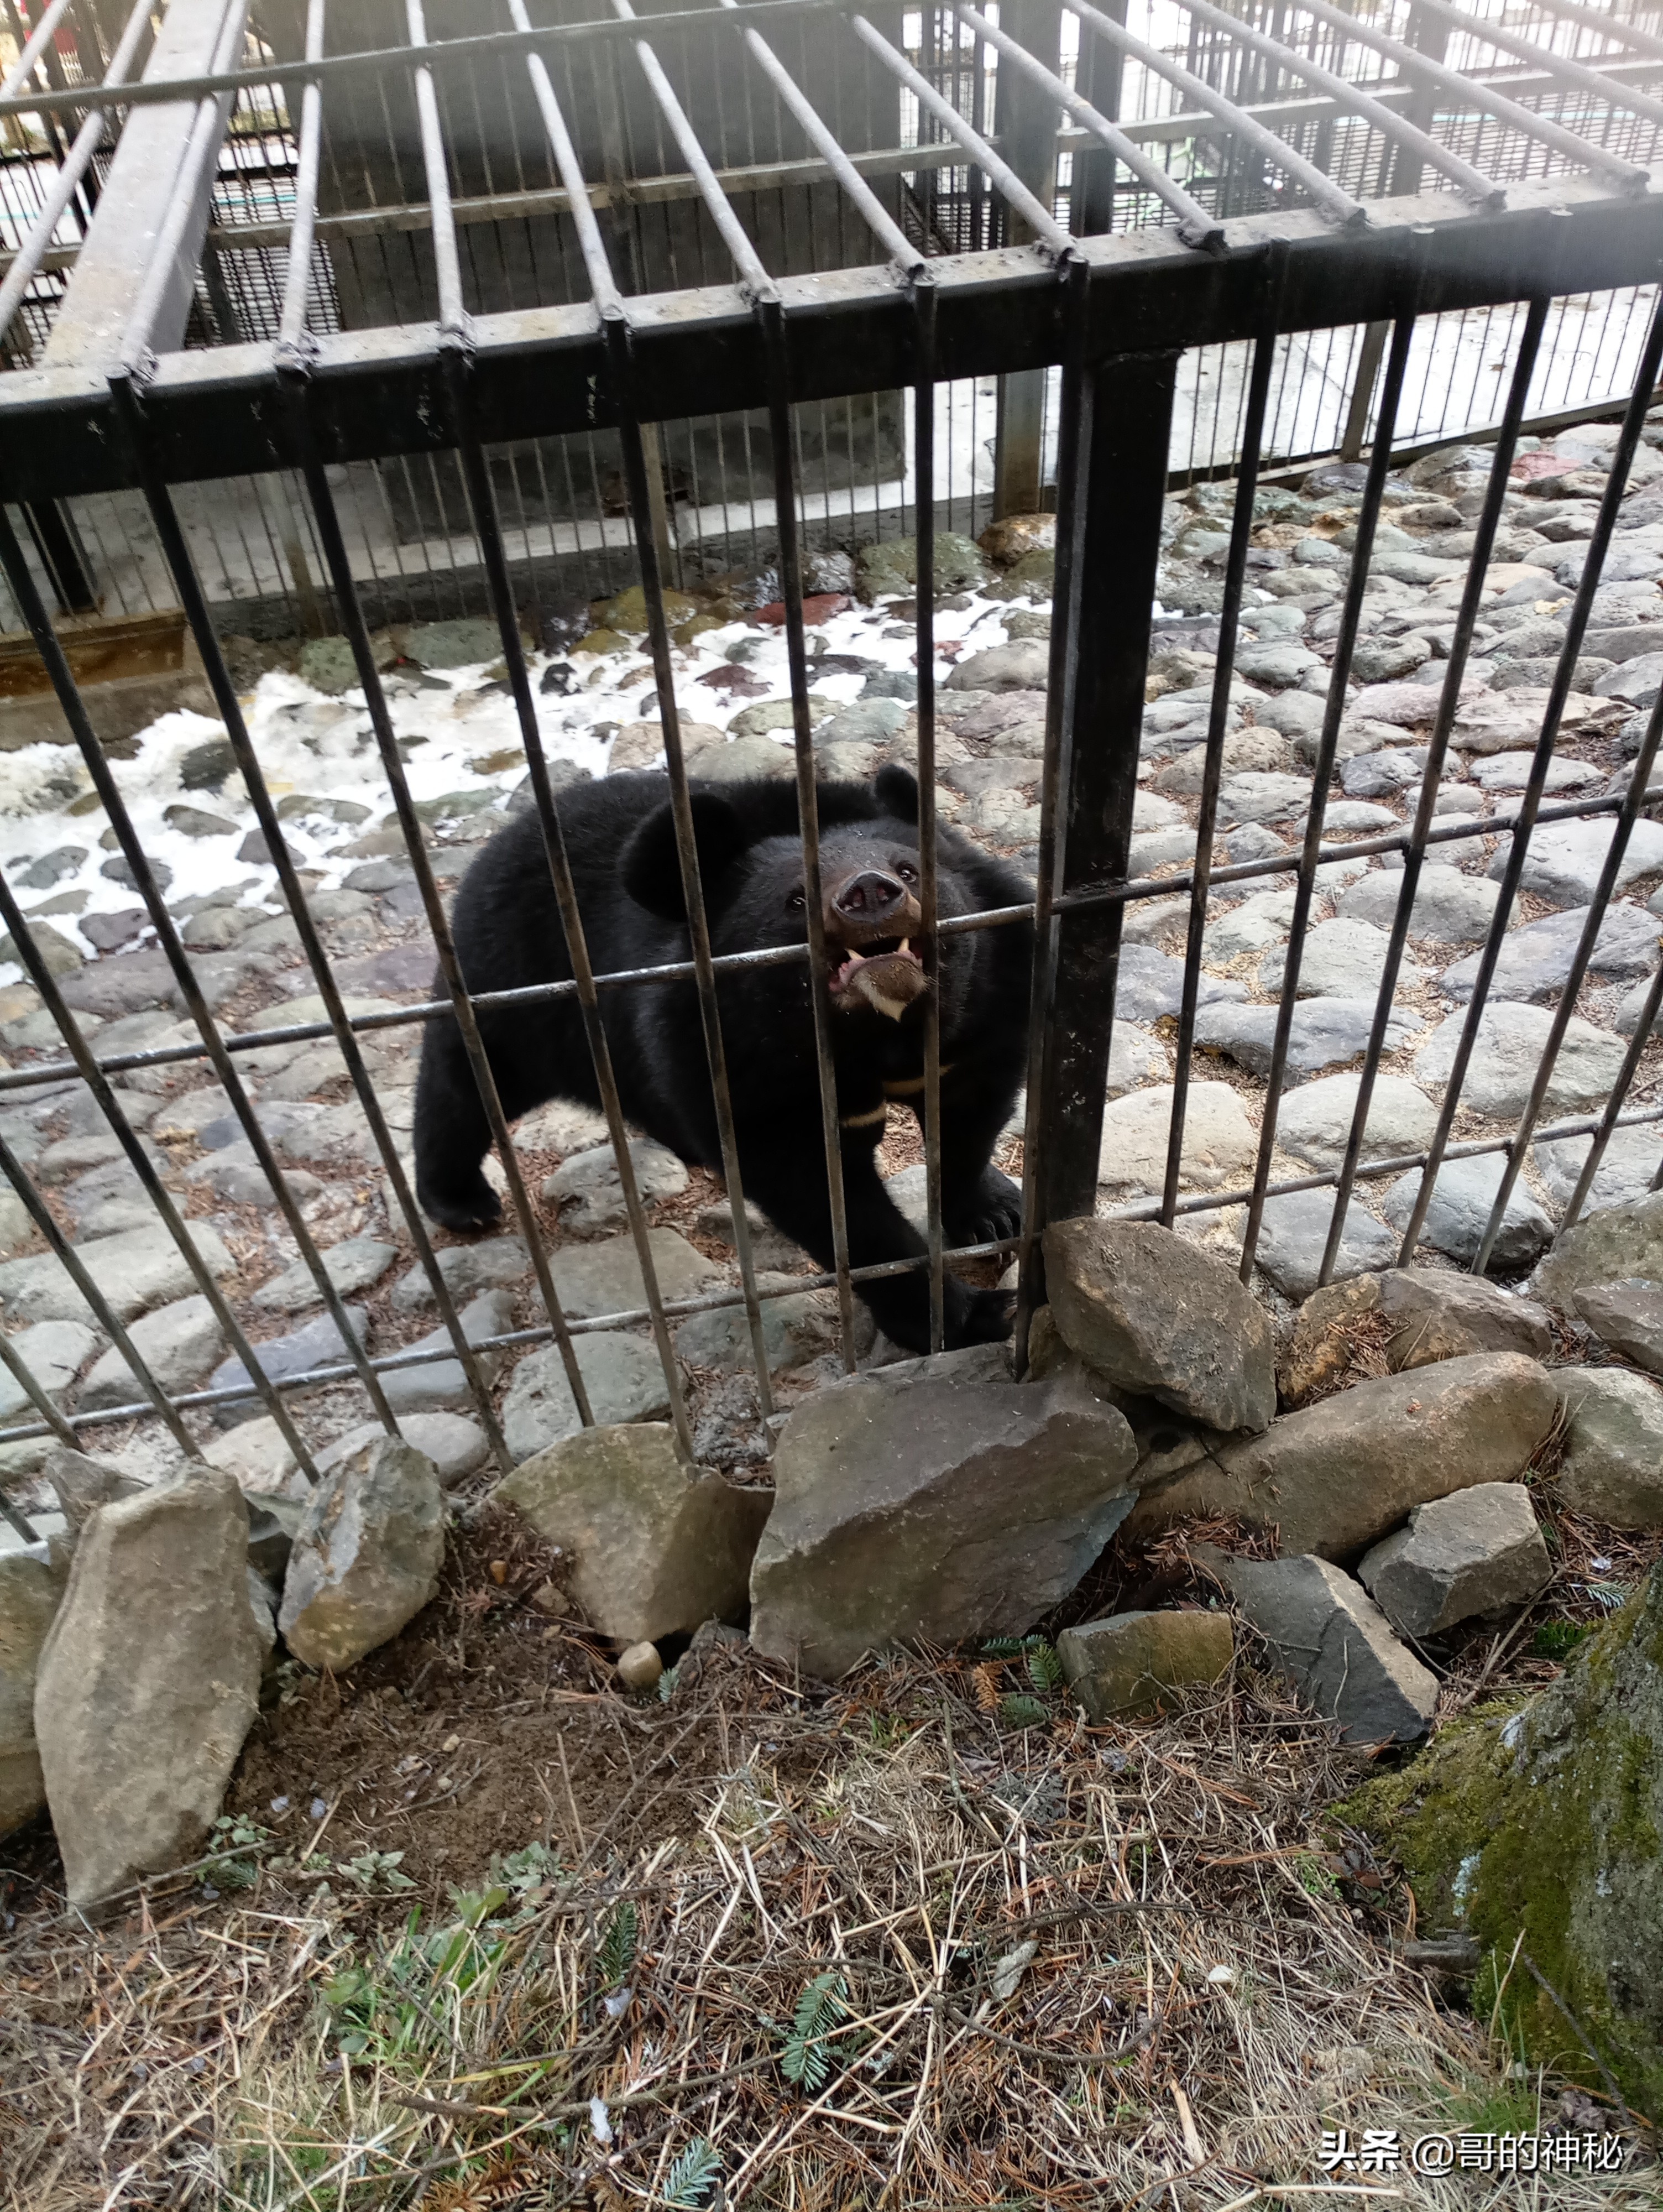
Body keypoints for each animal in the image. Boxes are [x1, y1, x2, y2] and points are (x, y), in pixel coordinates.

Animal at [414, 761, 1026, 1345]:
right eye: (795, 899)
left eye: (907, 869)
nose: (869, 894)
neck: (880, 1041)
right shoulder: (745, 1071)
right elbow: (829, 1203)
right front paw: (973, 1316)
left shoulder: (984, 1016)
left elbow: (971, 1122)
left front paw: (996, 1215)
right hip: (511, 984)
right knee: (464, 1085)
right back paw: (462, 1201)